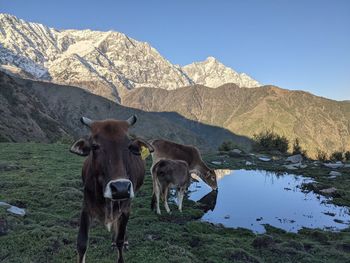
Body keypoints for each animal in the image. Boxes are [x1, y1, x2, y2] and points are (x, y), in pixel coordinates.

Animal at [69, 116, 153, 263]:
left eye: (129, 146)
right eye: (94, 146)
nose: (120, 188)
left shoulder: (125, 209)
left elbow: (120, 239)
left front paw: (121, 244)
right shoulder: (86, 208)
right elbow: (81, 243)